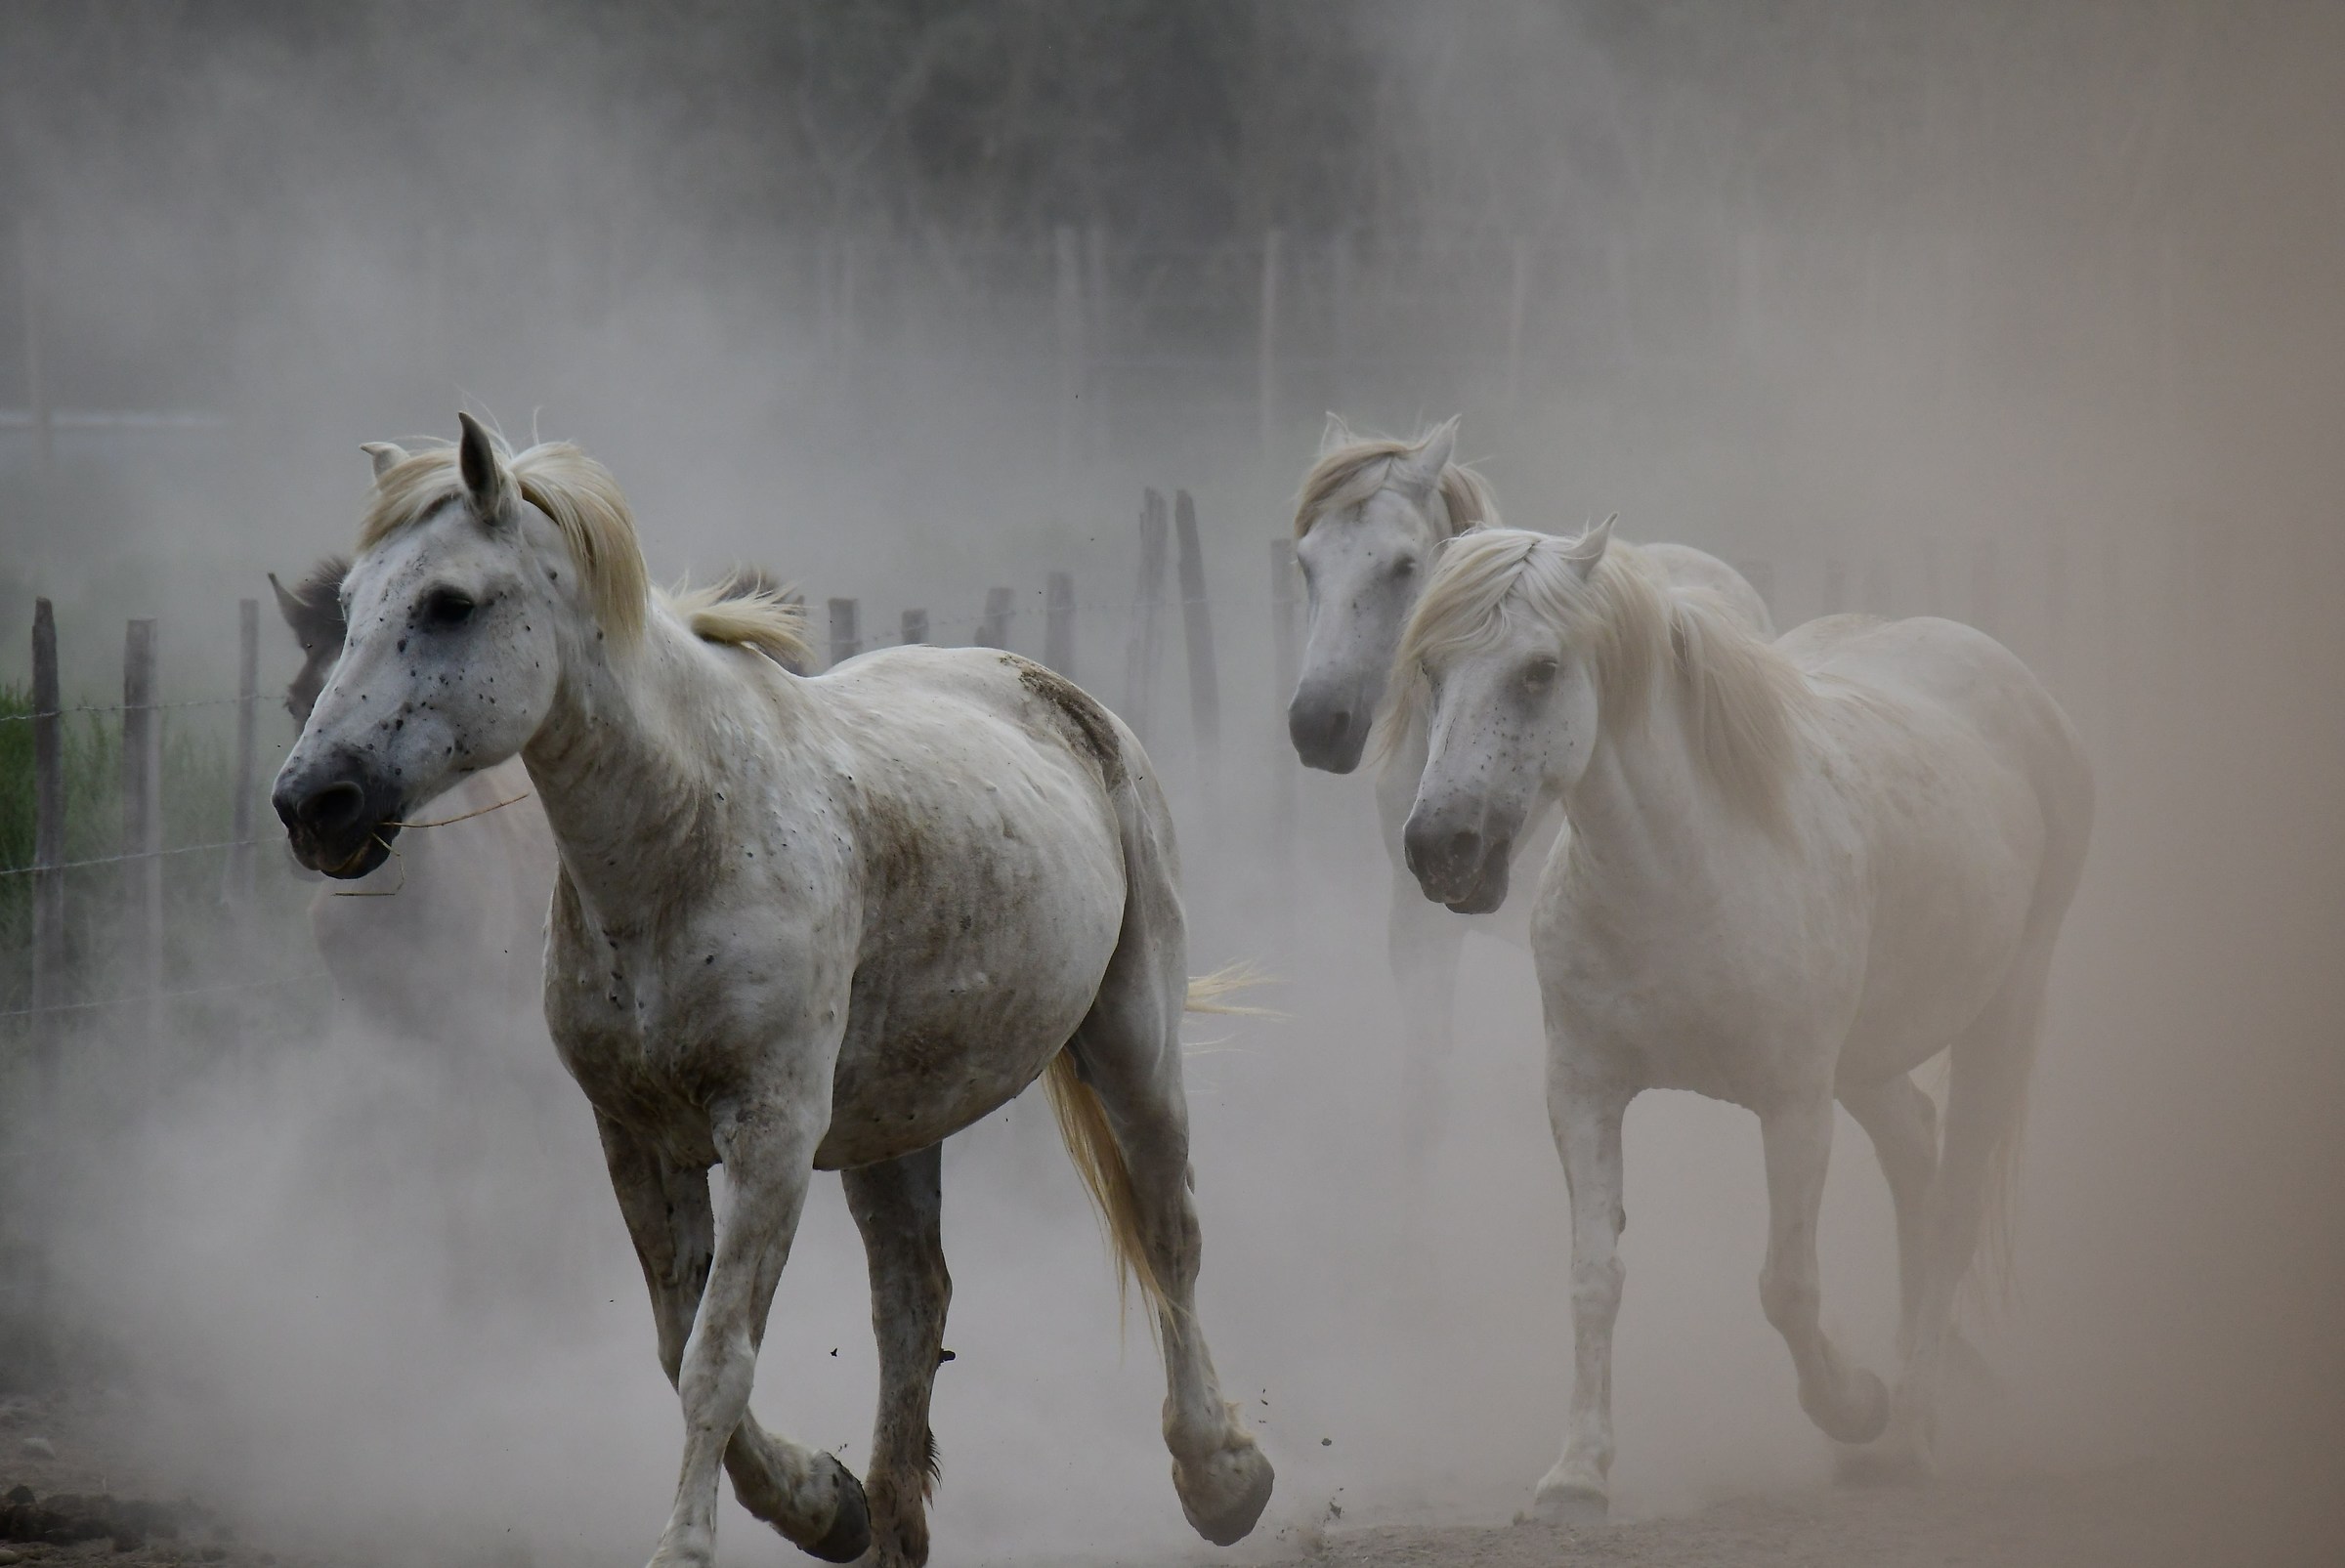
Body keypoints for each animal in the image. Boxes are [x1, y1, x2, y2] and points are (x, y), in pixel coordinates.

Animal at [271, 415, 1274, 1568]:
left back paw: (1222, 1478)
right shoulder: (639, 1140)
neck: (688, 835)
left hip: (1132, 1040)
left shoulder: (771, 1135)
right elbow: (681, 1345)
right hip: (896, 1125)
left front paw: (689, 1547)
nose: (314, 802)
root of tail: (1055, 693)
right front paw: (823, 1503)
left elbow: (719, 1356)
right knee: (913, 1301)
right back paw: (888, 1524)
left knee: (1168, 1232)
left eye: (448, 602)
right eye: (353, 607)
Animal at [1393, 523, 2092, 1518]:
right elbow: (1593, 1278)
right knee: (1915, 1161)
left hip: (2004, 1009)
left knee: (1951, 1211)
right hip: (1867, 1061)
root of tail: (2024, 693)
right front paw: (1577, 1474)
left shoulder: (1795, 1104)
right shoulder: (1583, 1093)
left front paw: (1855, 1404)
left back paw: (1907, 1431)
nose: (1440, 849)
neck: (1686, 872)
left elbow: (1786, 1287)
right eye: (1430, 667)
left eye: (1538, 670)